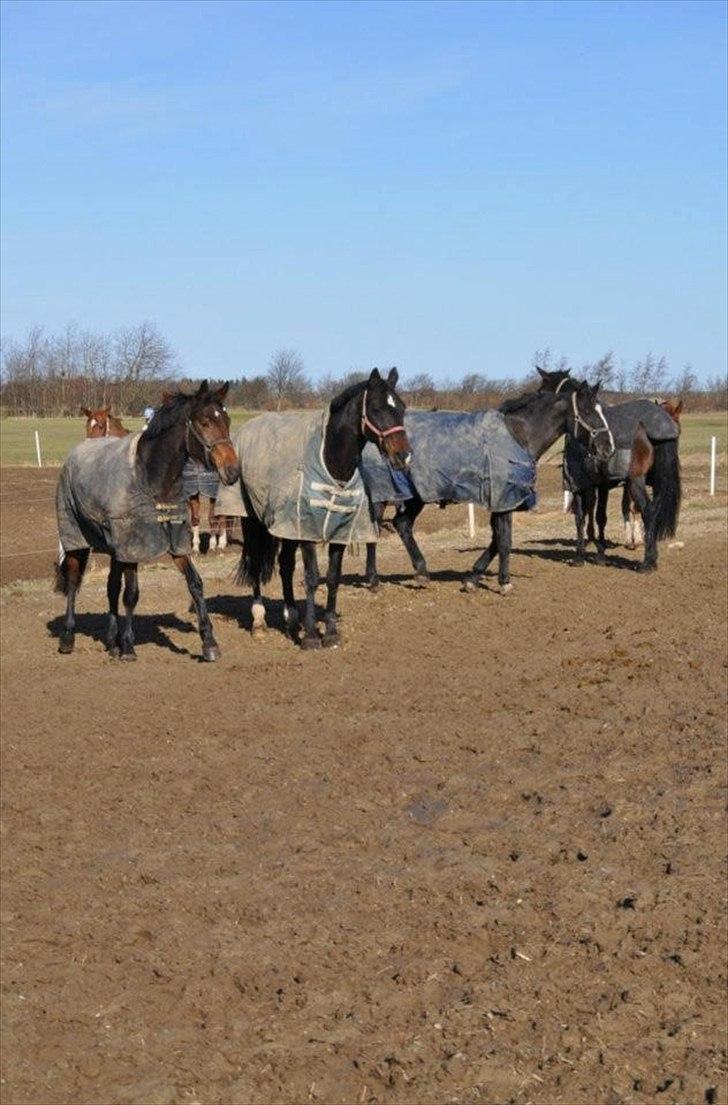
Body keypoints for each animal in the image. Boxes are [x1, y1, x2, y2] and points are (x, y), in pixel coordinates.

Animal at [57, 380, 239, 658]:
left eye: (226, 420)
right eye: (205, 422)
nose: (232, 469)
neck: (151, 477)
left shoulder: (174, 543)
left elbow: (195, 584)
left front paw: (209, 642)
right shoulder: (132, 546)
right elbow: (131, 594)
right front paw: (129, 645)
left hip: (114, 549)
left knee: (111, 587)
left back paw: (111, 641)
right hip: (76, 538)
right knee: (74, 579)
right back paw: (68, 636)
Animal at [231, 369, 410, 645]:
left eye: (401, 408)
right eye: (377, 408)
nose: (403, 456)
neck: (332, 465)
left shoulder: (338, 533)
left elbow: (333, 578)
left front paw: (331, 632)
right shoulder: (307, 533)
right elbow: (312, 578)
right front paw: (311, 636)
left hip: (287, 528)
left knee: (285, 566)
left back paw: (291, 619)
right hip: (253, 521)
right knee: (256, 563)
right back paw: (259, 622)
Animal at [357, 380, 614, 596]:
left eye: (602, 410)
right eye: (589, 412)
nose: (607, 448)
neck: (518, 435)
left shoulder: (502, 502)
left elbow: (496, 539)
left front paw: (473, 578)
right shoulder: (505, 499)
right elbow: (504, 540)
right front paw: (504, 582)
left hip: (415, 496)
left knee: (402, 524)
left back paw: (421, 573)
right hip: (383, 496)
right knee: (374, 531)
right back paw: (373, 579)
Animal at [534, 369, 684, 574]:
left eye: (541, 391)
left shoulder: (579, 485)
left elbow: (580, 517)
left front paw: (580, 556)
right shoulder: (602, 485)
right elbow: (600, 517)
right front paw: (600, 553)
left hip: (636, 482)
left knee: (648, 510)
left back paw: (647, 562)